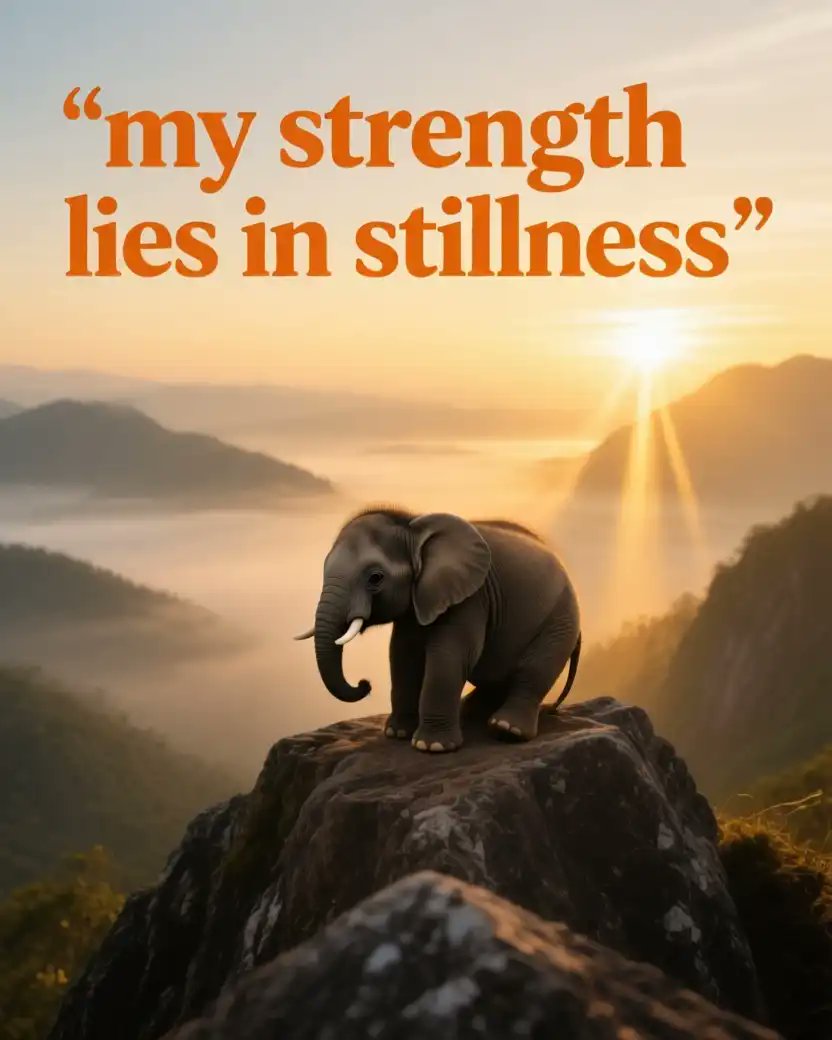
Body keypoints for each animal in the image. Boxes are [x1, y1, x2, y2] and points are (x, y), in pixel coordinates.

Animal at [296, 507, 581, 753]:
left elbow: (448, 655)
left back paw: (505, 730)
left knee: (534, 671)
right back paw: (470, 714)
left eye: (375, 578)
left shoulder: (470, 598)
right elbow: (402, 654)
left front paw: (431, 747)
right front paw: (397, 734)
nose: (364, 684)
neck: (413, 524)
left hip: (560, 621)